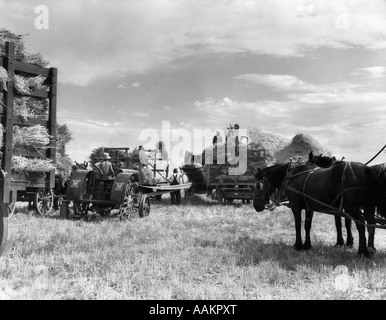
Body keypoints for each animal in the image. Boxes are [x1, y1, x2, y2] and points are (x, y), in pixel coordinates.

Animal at [253, 160, 386, 258]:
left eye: (258, 185)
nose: (256, 206)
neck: (290, 176)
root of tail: (365, 169)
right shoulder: (309, 207)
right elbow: (307, 226)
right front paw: (307, 245)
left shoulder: (296, 206)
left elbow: (297, 225)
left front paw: (297, 245)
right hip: (368, 206)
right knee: (371, 224)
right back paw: (371, 249)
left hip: (353, 207)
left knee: (361, 224)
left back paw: (362, 251)